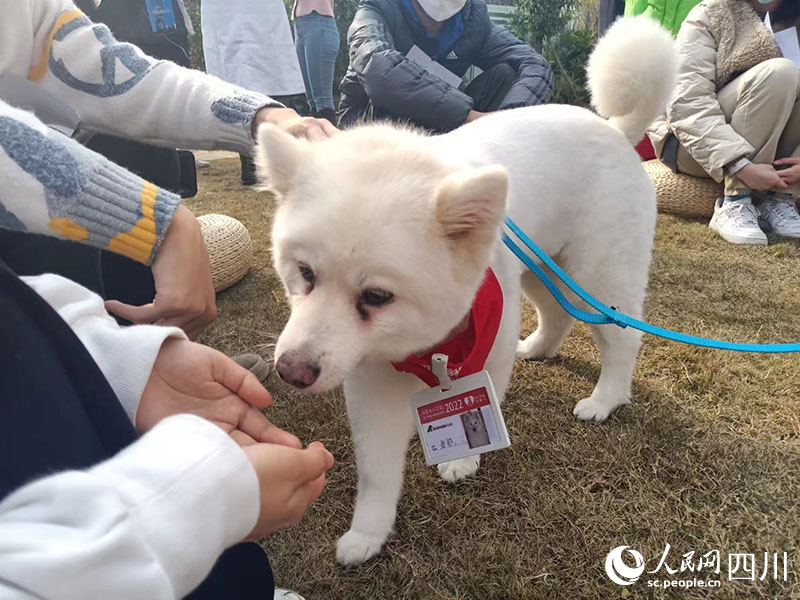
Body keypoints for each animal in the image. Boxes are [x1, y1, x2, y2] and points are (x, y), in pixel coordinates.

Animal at [256, 16, 676, 564]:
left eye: (376, 297)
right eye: (305, 273)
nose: (292, 371)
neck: (421, 348)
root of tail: (618, 131)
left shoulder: (484, 348)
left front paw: (462, 461)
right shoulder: (369, 376)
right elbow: (377, 471)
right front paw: (368, 533)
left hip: (595, 276)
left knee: (623, 337)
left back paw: (606, 399)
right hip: (540, 270)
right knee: (557, 315)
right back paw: (538, 349)